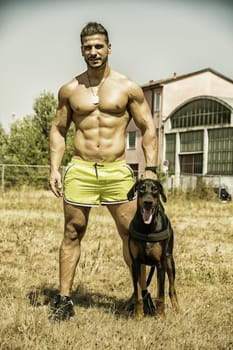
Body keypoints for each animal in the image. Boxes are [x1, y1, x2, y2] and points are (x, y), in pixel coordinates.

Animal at [127, 180, 180, 320]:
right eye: (141, 188)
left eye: (155, 189)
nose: (148, 202)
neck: (147, 228)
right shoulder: (135, 263)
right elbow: (138, 293)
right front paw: (138, 315)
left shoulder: (160, 263)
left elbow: (161, 295)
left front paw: (161, 316)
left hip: (169, 260)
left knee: (172, 288)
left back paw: (177, 309)